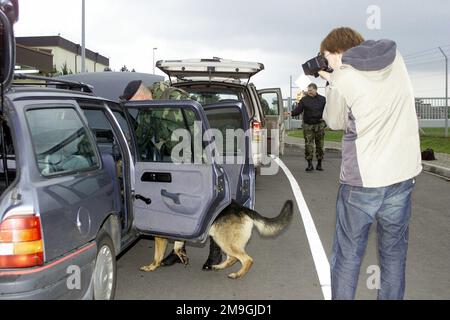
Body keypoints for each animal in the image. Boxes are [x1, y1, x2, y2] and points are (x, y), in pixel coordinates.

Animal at [142, 200, 296, 278]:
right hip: (221, 239)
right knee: (233, 258)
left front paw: (151, 267)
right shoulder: (180, 233)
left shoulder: (160, 237)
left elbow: (157, 256)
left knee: (247, 259)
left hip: (224, 241)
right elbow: (177, 246)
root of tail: (242, 208)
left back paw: (237, 274)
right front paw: (182, 257)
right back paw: (218, 266)